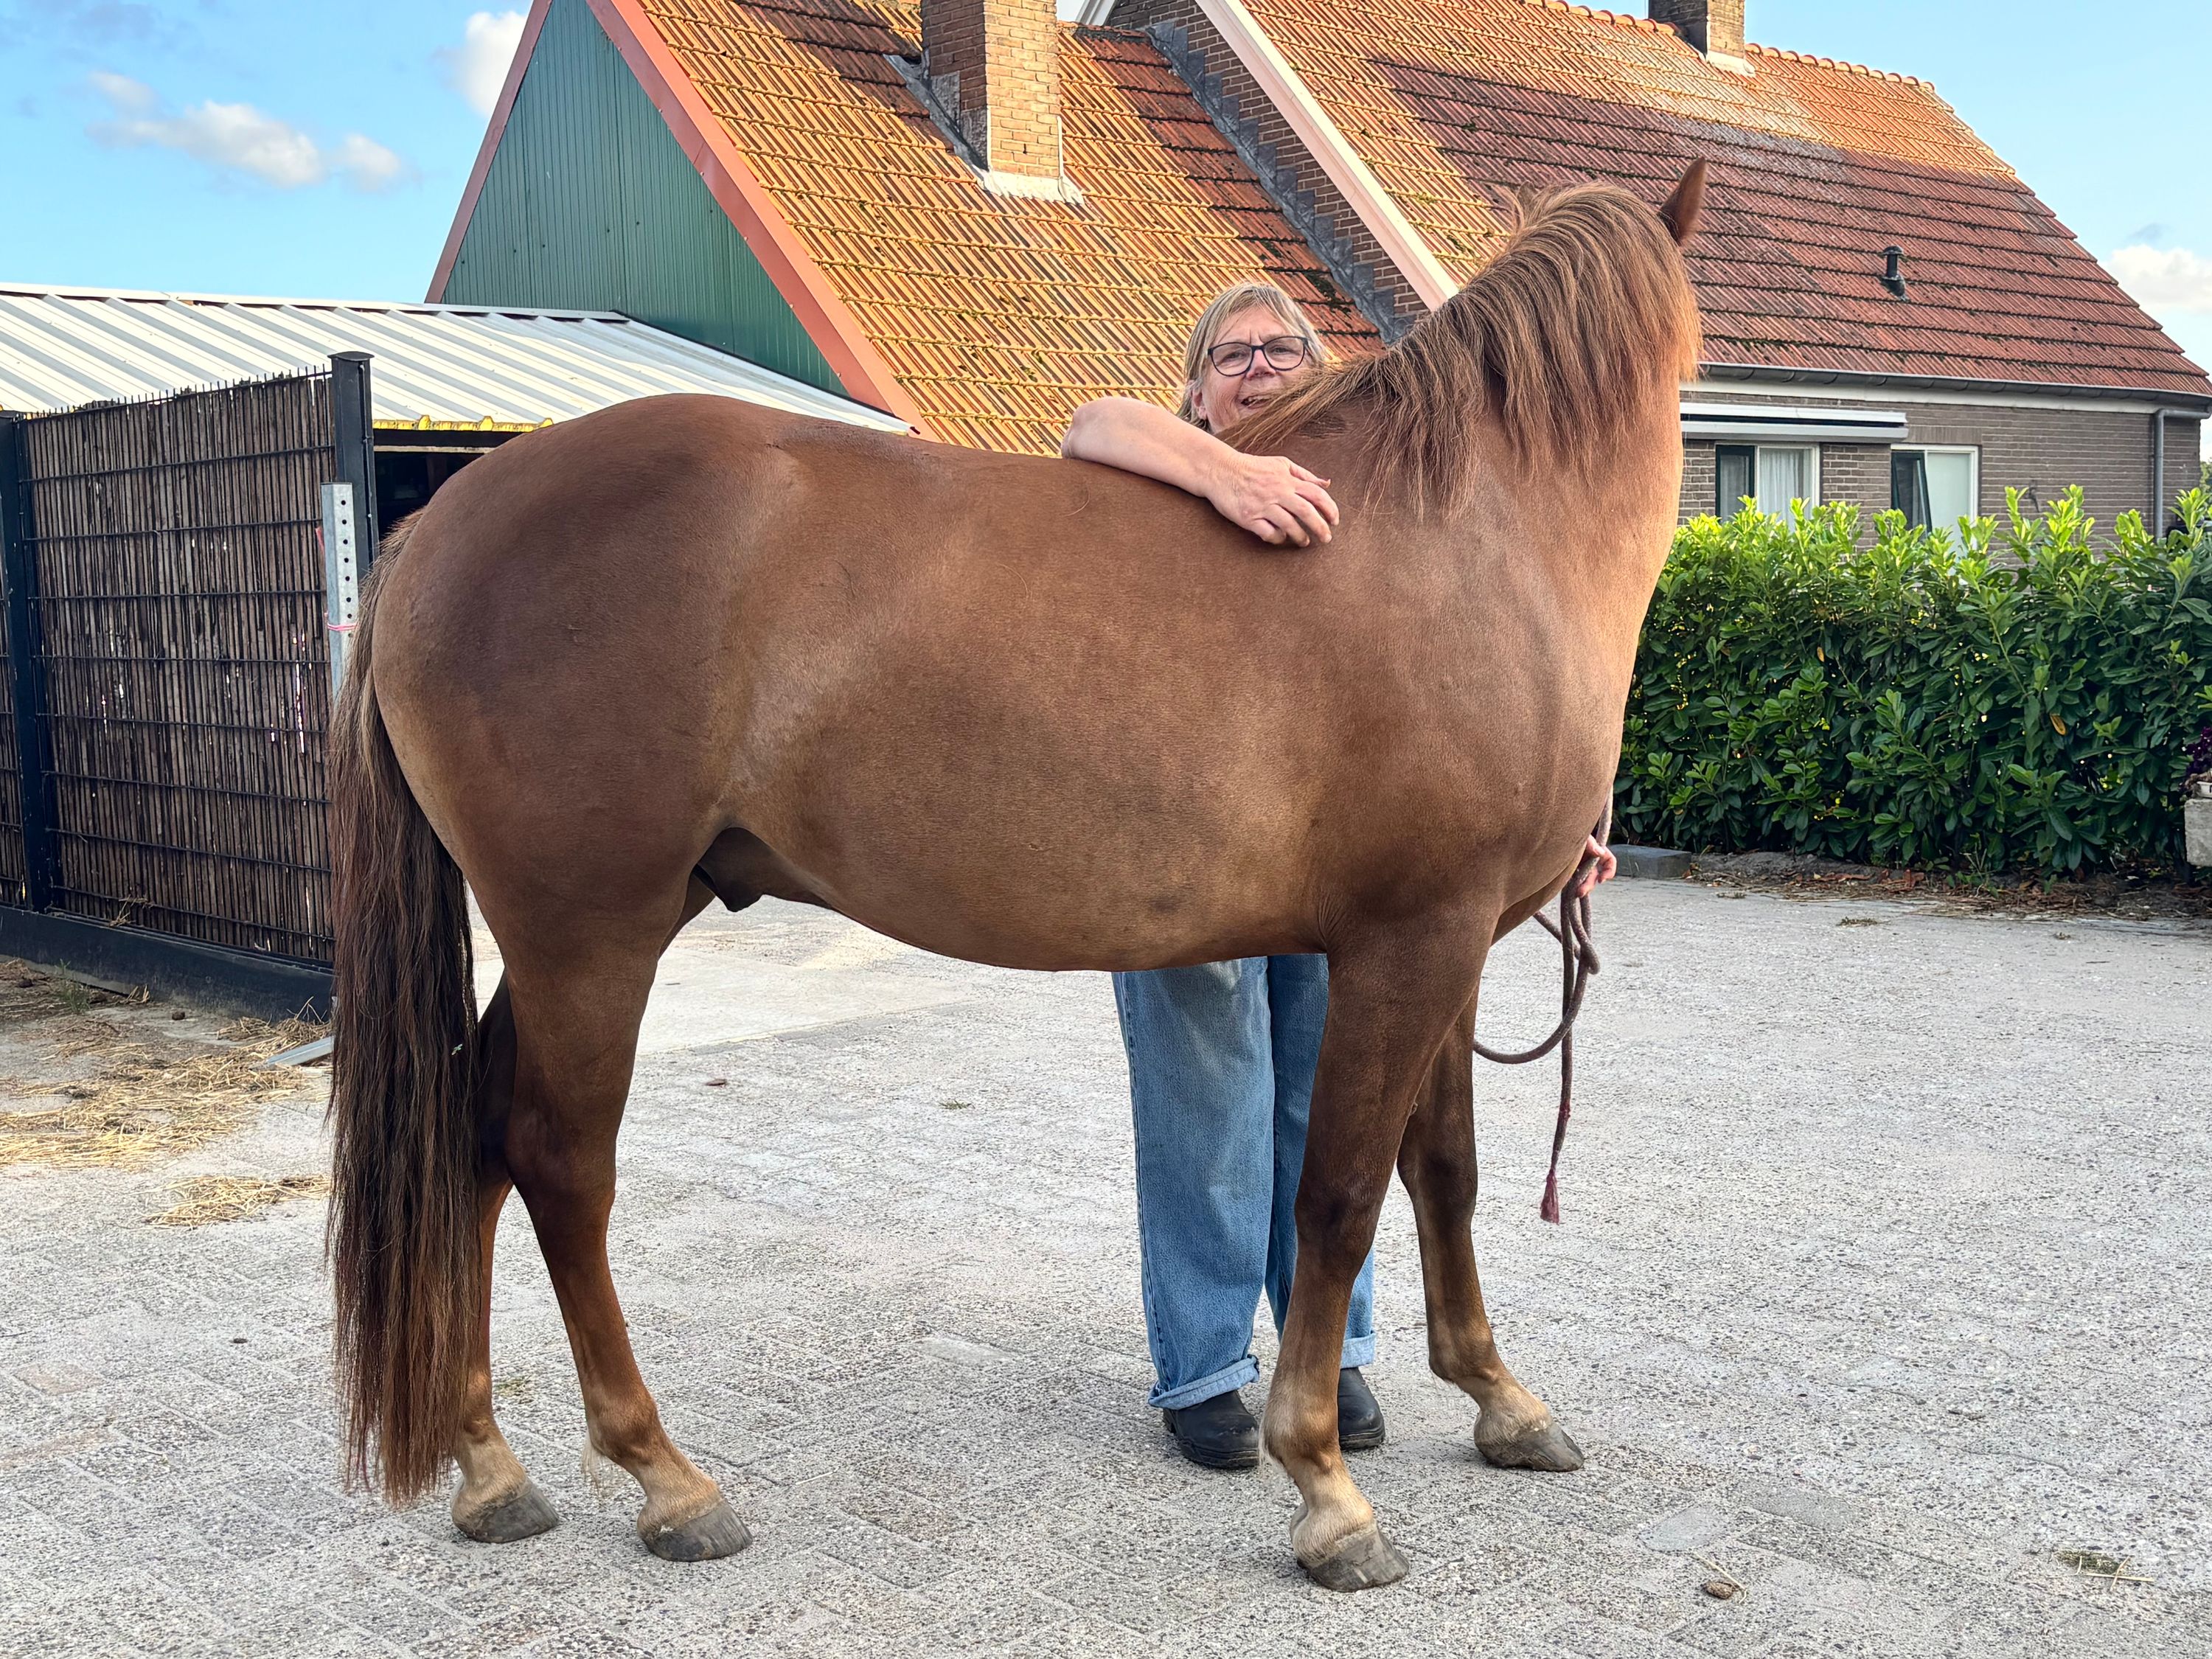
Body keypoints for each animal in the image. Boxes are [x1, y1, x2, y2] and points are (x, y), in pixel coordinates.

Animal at [327, 163, 1705, 1592]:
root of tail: (439, 523)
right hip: (588, 934)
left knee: (473, 1137)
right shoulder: (1408, 942)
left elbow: (1445, 1173)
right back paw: (666, 1478)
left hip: (581, 932)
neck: (1471, 537)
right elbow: (1336, 1196)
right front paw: (1325, 1485)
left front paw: (1500, 1401)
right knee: (557, 1160)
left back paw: (492, 1468)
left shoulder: (1452, 942)